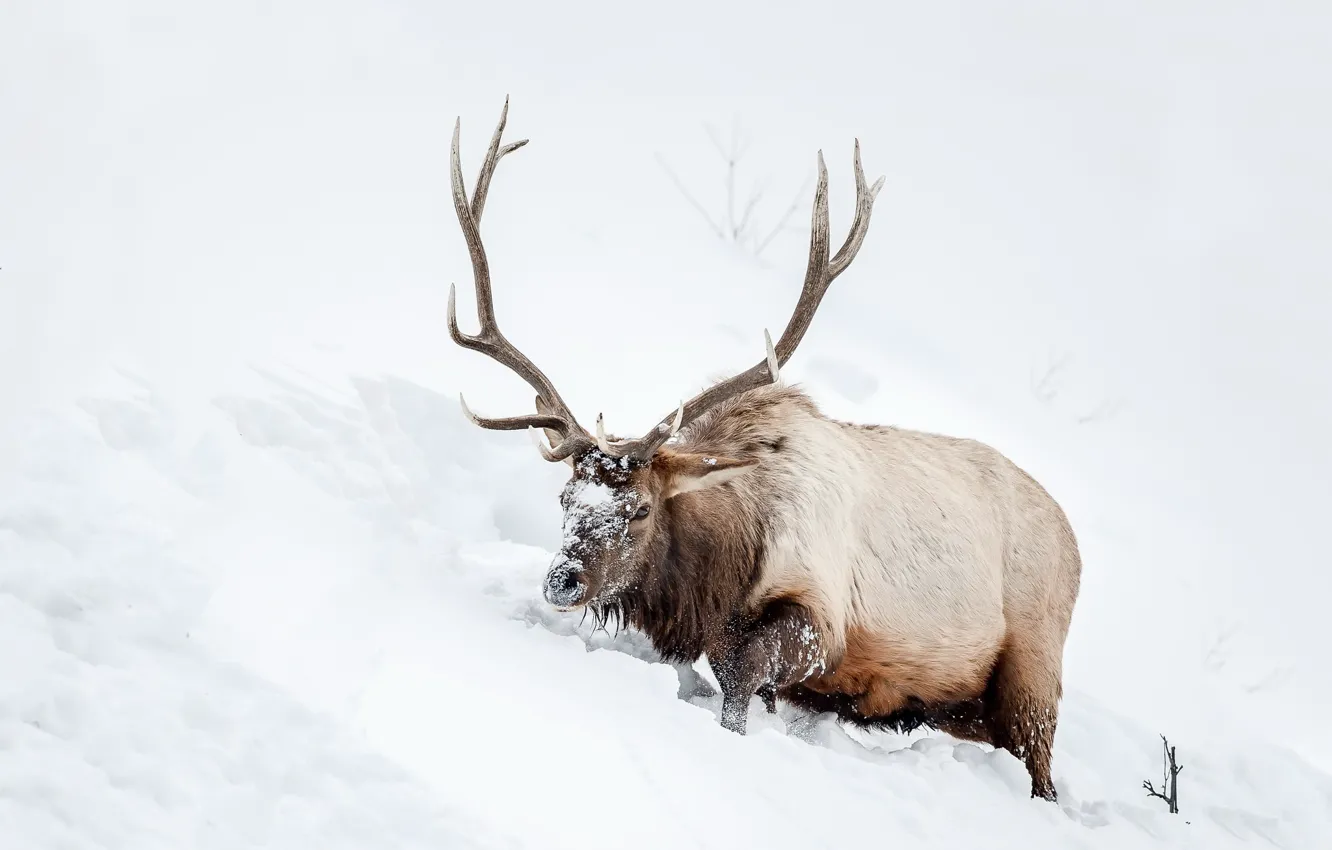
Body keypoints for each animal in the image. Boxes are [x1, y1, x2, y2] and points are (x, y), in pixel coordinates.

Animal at [443, 99, 1082, 802]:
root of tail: (1071, 534)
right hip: (963, 705)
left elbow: (739, 684)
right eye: (564, 497)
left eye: (640, 508)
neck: (720, 571)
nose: (564, 579)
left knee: (1042, 767)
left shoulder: (819, 618)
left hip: (1034, 669)